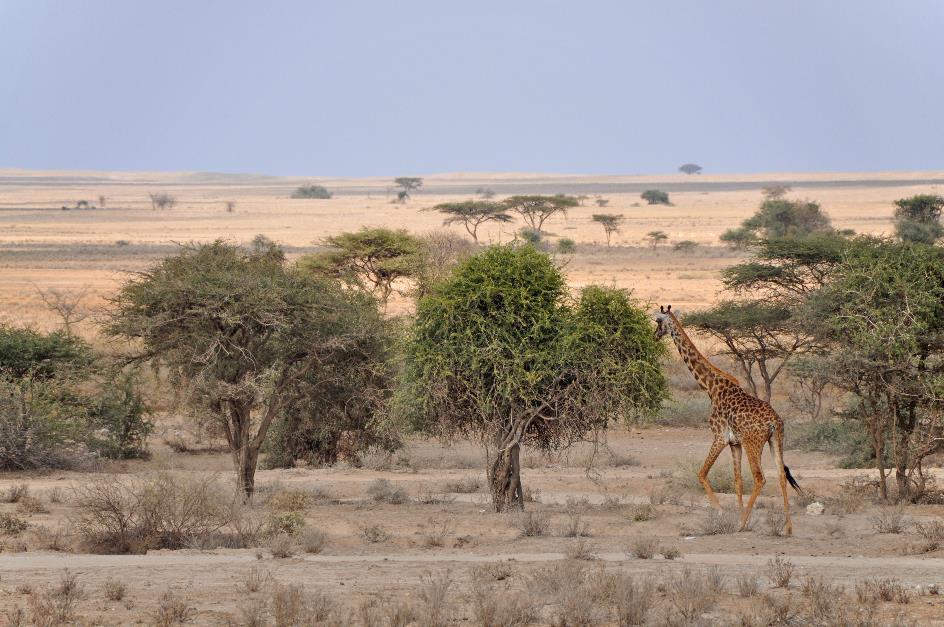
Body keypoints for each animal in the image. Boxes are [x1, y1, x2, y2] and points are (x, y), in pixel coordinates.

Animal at [656, 304, 804, 536]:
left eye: (657, 321)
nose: (655, 336)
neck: (710, 387)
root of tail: (774, 421)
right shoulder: (735, 443)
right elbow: (738, 481)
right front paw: (738, 515)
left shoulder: (719, 437)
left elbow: (702, 473)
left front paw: (723, 512)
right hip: (776, 441)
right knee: (781, 475)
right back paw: (787, 528)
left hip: (754, 443)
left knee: (760, 477)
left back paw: (743, 525)